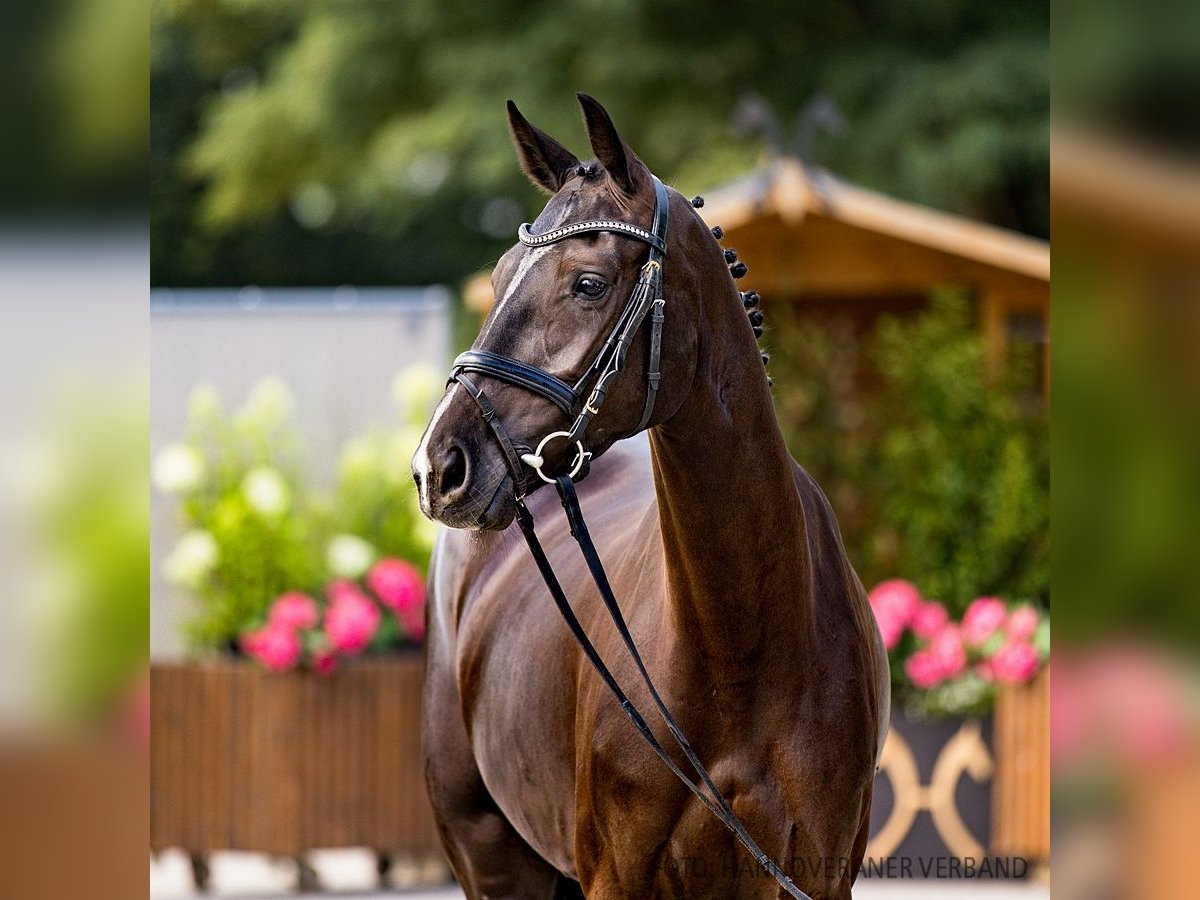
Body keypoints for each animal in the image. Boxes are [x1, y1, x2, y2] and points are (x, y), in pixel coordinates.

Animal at [412, 95, 892, 897]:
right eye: (501, 272)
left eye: (588, 283)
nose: (439, 466)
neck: (742, 649)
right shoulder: (617, 877)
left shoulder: (817, 877)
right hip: (488, 854)